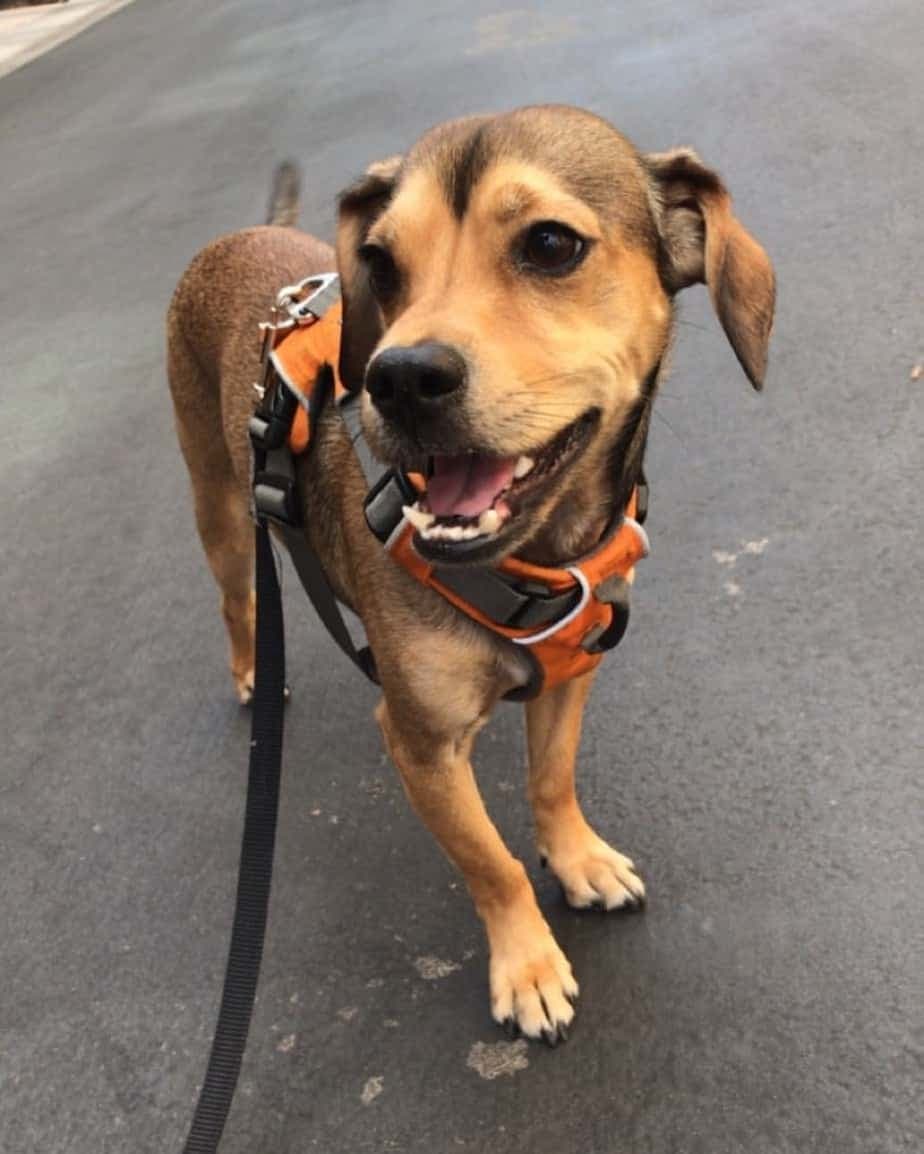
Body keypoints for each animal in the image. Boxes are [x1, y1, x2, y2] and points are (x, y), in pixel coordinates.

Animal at [166, 110, 770, 1047]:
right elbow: (491, 864)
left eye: (551, 244)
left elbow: (552, 784)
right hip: (220, 509)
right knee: (237, 598)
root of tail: (238, 237)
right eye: (380, 263)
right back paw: (250, 670)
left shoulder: (571, 676)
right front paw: (527, 965)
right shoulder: (419, 743)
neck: (538, 554)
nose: (398, 378)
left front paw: (579, 859)